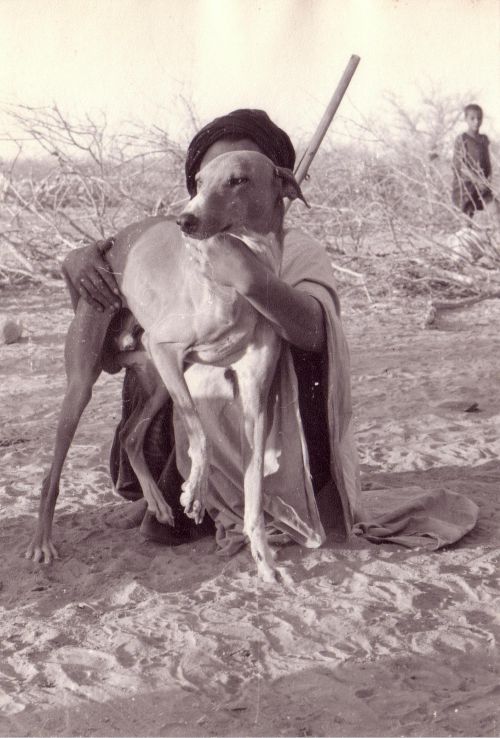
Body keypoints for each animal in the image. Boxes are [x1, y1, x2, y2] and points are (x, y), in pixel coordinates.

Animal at [27, 151, 308, 580]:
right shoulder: (168, 350)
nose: (185, 220)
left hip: (157, 378)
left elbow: (254, 488)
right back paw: (42, 541)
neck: (230, 281)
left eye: (238, 180)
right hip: (87, 384)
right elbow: (198, 429)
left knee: (130, 435)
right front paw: (194, 492)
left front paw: (264, 557)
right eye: (199, 181)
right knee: (51, 475)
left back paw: (158, 503)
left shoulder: (254, 397)